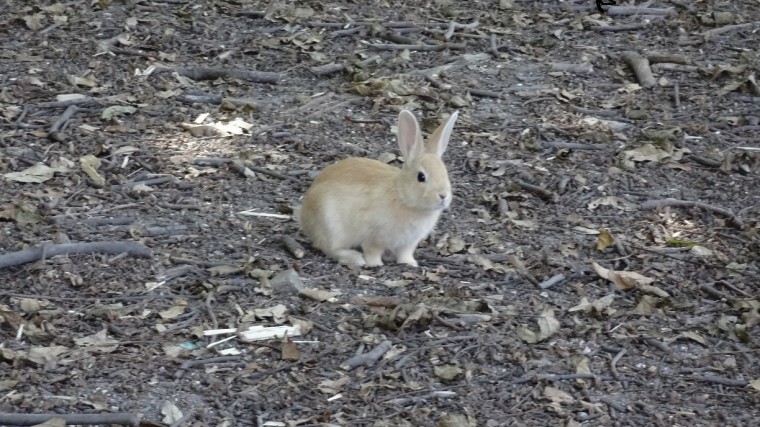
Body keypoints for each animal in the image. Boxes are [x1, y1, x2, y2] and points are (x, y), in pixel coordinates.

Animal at [296, 110, 458, 268]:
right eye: (421, 177)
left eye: (445, 173)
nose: (443, 196)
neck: (402, 196)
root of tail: (304, 218)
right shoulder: (373, 237)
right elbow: (372, 251)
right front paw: (375, 264)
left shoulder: (408, 243)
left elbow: (405, 253)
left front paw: (410, 263)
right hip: (332, 227)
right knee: (330, 248)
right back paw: (355, 258)